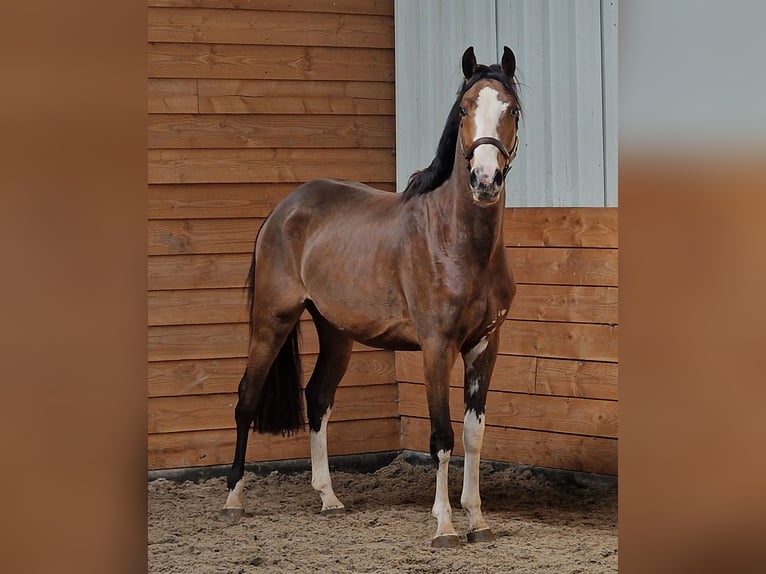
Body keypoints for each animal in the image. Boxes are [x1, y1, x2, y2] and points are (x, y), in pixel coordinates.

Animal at [222, 46, 522, 548]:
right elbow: (441, 437)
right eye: (463, 109)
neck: (458, 242)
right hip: (272, 319)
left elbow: (473, 436)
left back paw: (329, 498)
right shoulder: (437, 348)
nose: (485, 179)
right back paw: (233, 499)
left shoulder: (485, 346)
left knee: (318, 398)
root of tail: (284, 209)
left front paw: (478, 522)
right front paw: (444, 526)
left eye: (512, 110)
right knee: (247, 397)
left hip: (336, 332)